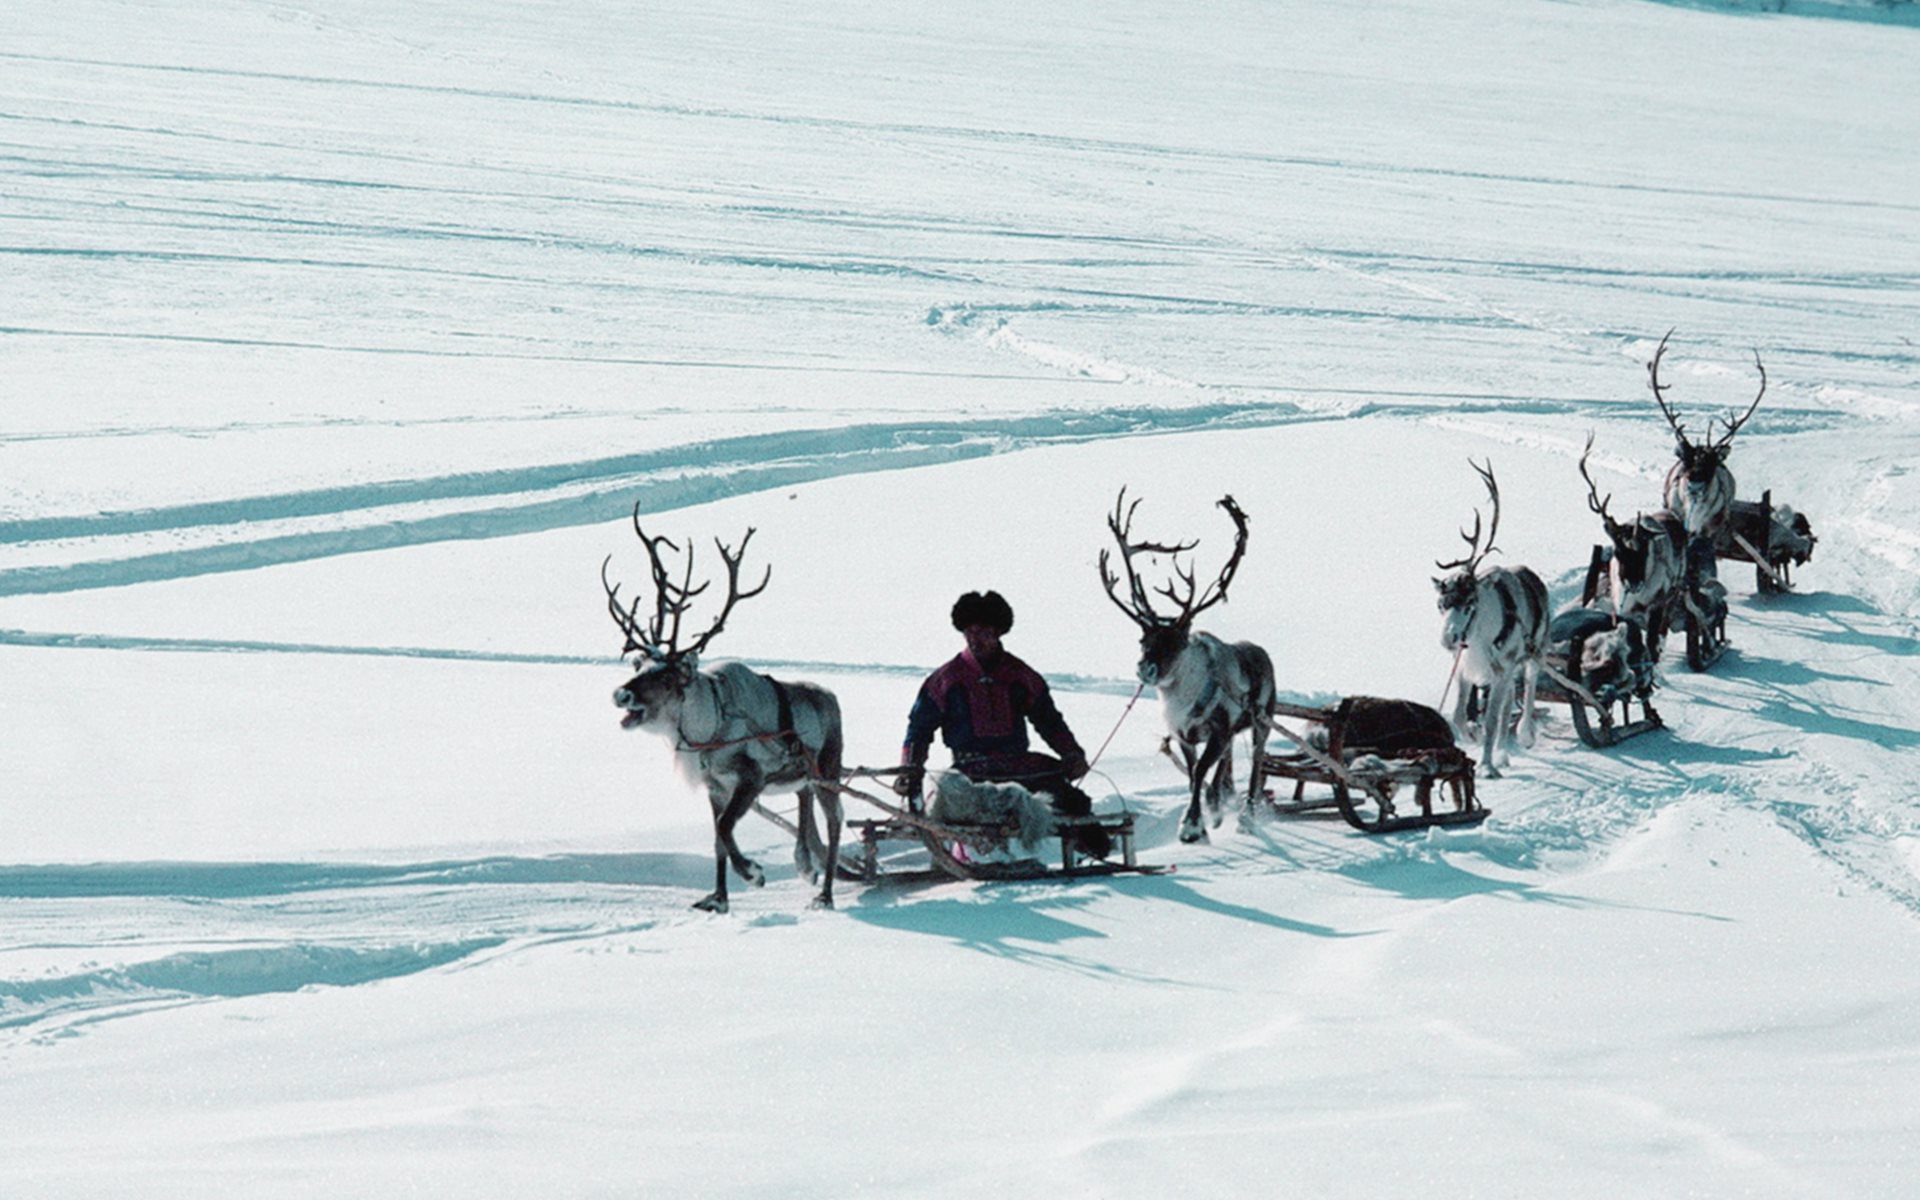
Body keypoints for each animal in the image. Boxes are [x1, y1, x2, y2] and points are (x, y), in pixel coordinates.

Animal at [603, 507, 844, 914]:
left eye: (665, 676)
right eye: (639, 666)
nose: (621, 694)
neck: (707, 729)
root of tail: (830, 697)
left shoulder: (751, 777)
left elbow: (726, 827)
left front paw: (753, 873)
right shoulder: (714, 786)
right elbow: (717, 839)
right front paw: (718, 899)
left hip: (829, 766)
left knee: (835, 818)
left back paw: (824, 894)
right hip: (802, 772)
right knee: (804, 796)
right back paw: (805, 865)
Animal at [1100, 489, 1276, 844]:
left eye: (1176, 641)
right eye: (1143, 638)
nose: (1146, 669)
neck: (1181, 697)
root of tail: (1263, 653)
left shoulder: (1218, 729)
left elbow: (1199, 771)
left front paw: (1192, 827)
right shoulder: (1182, 734)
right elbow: (1193, 773)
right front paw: (1208, 817)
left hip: (1262, 720)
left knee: (1257, 761)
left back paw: (1246, 816)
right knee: (1228, 763)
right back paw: (1222, 802)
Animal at [1433, 460, 1549, 778]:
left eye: (1470, 603)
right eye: (1441, 604)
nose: (1448, 639)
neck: (1481, 636)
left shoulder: (1501, 667)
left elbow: (1491, 720)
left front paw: (1486, 767)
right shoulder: (1466, 668)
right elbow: (1460, 716)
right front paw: (1472, 738)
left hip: (1534, 652)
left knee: (1529, 688)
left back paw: (1524, 735)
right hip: (1507, 671)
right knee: (1510, 700)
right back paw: (1501, 753)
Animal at [1578, 432, 1684, 661]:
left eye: (1645, 551)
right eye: (1618, 552)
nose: (1633, 583)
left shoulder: (1657, 604)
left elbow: (1651, 641)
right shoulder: (1621, 607)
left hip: (1673, 594)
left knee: (1662, 630)